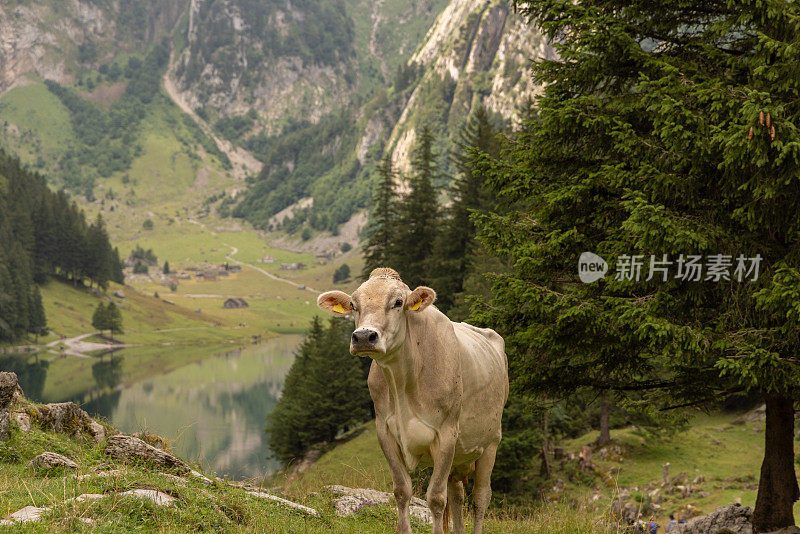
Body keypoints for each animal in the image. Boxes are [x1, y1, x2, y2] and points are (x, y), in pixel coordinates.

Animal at [318, 268, 510, 534]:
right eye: (354, 305)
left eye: (398, 302)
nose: (364, 336)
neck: (402, 382)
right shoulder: (385, 432)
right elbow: (402, 490)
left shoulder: (446, 434)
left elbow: (436, 498)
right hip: (460, 456)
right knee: (458, 495)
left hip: (491, 442)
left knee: (481, 497)